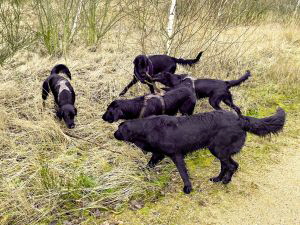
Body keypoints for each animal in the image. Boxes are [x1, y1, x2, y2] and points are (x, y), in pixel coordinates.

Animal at [114, 107, 286, 193]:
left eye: (118, 129)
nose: (113, 134)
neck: (147, 128)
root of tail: (240, 119)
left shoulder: (176, 154)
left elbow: (183, 173)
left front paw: (188, 188)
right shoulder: (159, 154)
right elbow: (149, 164)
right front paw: (141, 173)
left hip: (218, 149)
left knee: (232, 165)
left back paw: (225, 181)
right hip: (218, 149)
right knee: (226, 165)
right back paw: (217, 179)